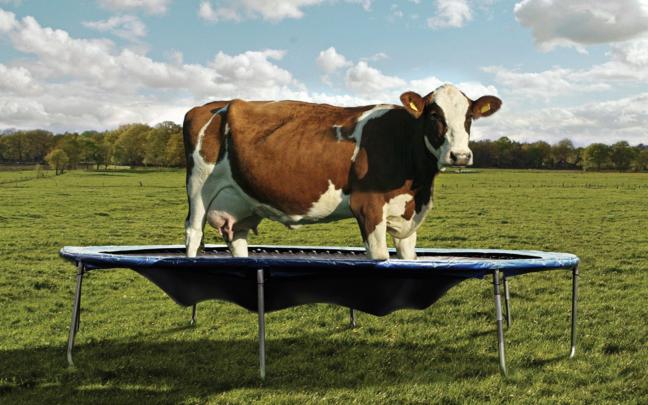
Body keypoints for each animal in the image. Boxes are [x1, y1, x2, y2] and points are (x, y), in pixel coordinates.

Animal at [182, 84, 501, 260]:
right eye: (434, 115)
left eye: (469, 117)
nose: (460, 155)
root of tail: (210, 106)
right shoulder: (368, 207)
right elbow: (379, 256)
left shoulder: (408, 214)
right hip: (198, 189)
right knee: (193, 234)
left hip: (240, 205)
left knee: (237, 239)